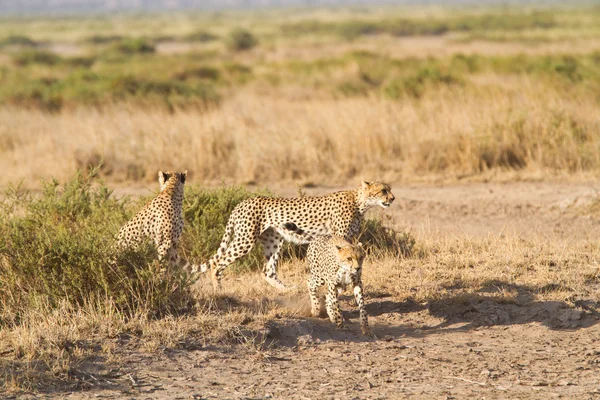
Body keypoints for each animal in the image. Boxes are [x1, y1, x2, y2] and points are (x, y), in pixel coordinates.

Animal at [196, 181, 394, 290]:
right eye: (383, 190)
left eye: (389, 189)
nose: (392, 198)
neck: (360, 202)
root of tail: (242, 202)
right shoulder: (339, 235)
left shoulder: (348, 239)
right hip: (245, 240)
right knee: (217, 262)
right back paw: (218, 289)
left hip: (274, 241)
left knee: (268, 271)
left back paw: (289, 290)